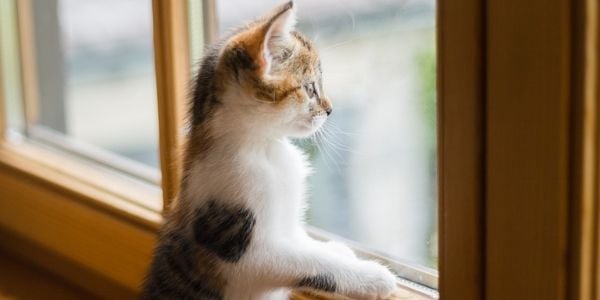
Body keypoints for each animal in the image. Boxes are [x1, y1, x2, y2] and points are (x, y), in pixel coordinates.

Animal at [143, 2, 398, 300]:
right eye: (310, 88)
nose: (330, 109)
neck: (265, 149)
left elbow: (301, 242)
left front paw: (337, 250)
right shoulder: (244, 257)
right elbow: (308, 262)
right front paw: (371, 277)